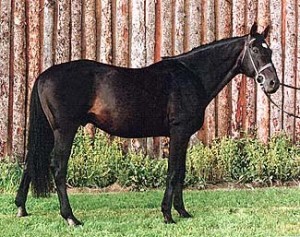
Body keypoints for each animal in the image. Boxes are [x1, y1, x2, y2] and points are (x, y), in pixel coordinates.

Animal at [15, 22, 278, 226]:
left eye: (271, 51)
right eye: (255, 49)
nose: (272, 83)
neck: (192, 76)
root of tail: (43, 76)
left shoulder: (183, 136)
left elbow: (181, 171)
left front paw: (182, 212)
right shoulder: (179, 132)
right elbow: (173, 172)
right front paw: (167, 215)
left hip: (49, 132)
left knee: (31, 162)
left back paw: (21, 208)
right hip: (65, 131)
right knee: (58, 168)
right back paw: (70, 217)